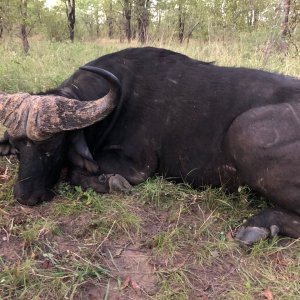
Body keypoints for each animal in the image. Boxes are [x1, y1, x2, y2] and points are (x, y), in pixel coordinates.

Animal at [0, 47, 300, 244]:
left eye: (51, 146)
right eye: (17, 147)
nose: (25, 196)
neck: (119, 101)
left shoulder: (138, 166)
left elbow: (75, 173)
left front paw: (112, 182)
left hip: (244, 131)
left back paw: (259, 225)